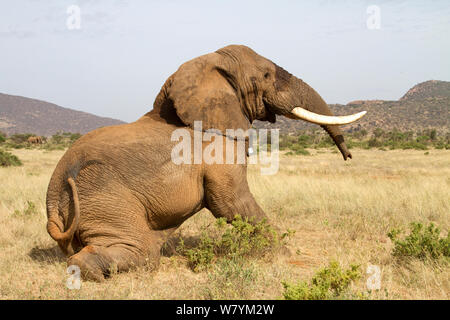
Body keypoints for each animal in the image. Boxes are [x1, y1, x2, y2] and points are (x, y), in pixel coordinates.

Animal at [46, 44, 366, 280]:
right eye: (265, 75)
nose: (348, 156)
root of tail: (52, 202)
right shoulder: (217, 147)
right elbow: (230, 201)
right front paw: (284, 255)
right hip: (104, 198)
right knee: (139, 252)